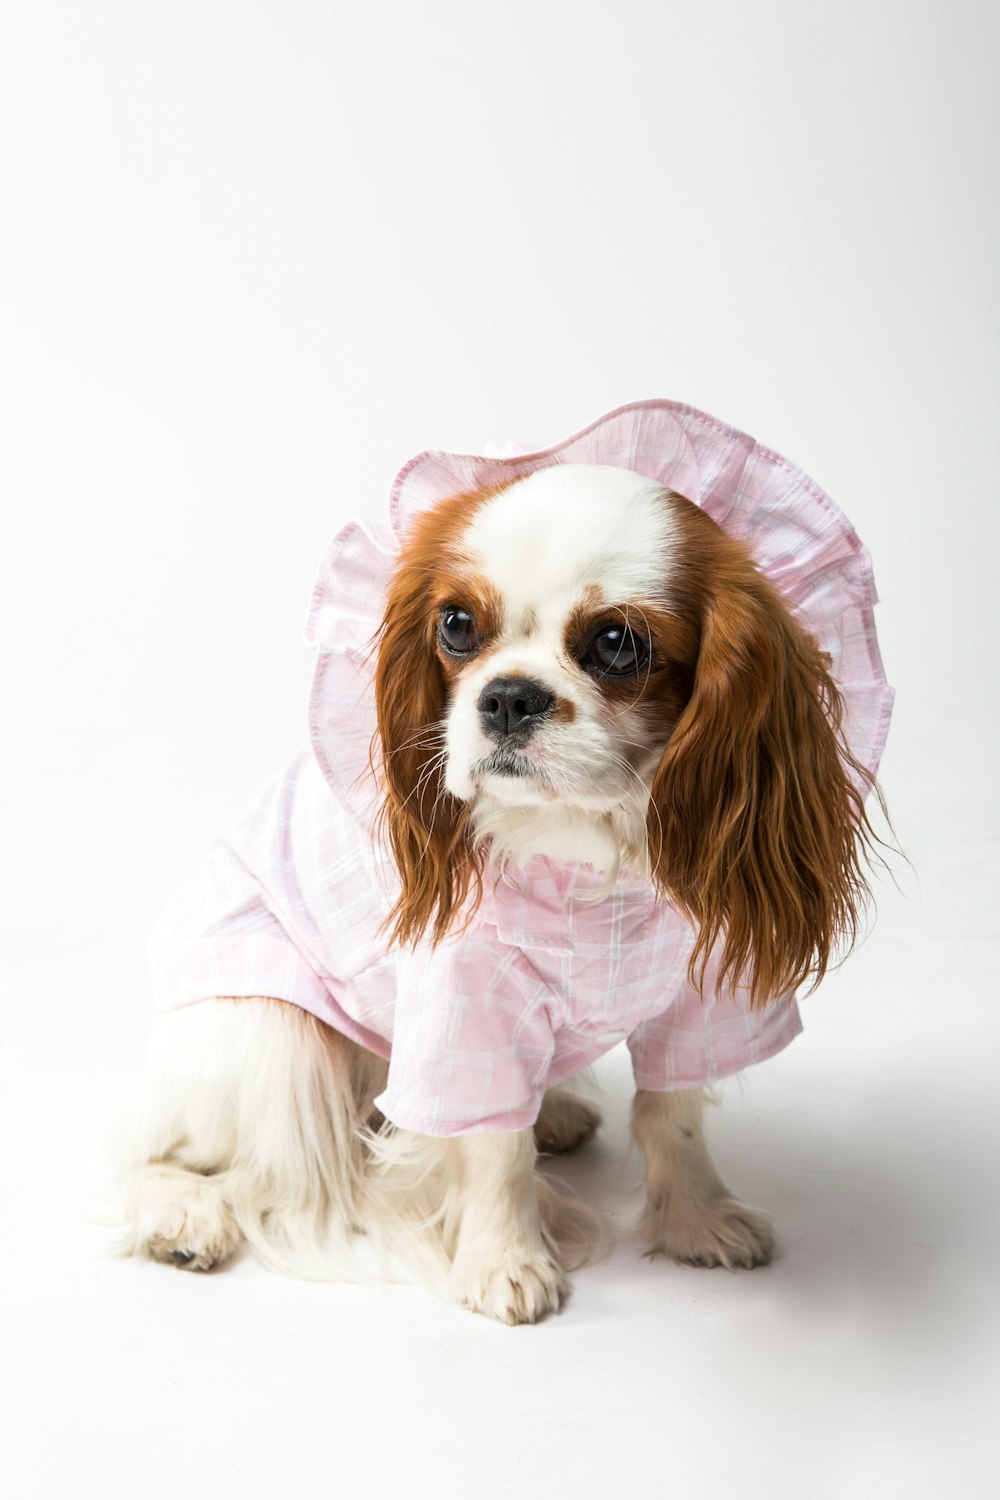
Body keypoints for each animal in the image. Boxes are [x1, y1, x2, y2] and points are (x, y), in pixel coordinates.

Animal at [113, 402, 893, 1326]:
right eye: (456, 626)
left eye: (619, 644)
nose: (509, 696)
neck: (585, 843)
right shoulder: (467, 1009)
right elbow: (493, 1147)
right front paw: (504, 1261)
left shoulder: (697, 999)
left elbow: (673, 1111)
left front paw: (697, 1220)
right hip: (270, 1037)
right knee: (155, 1150)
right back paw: (180, 1214)